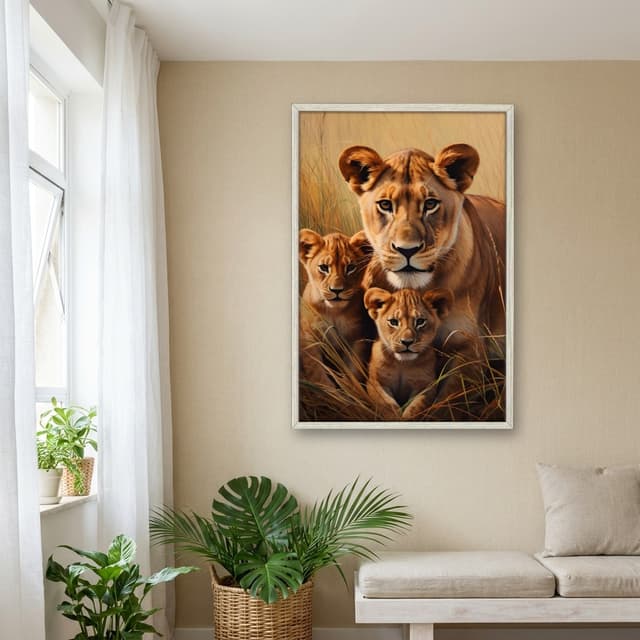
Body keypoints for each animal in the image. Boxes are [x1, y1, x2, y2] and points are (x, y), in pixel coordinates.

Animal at [299, 228, 374, 388]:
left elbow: (354, 372)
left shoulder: (357, 339)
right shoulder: (310, 340)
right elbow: (318, 373)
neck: (334, 311)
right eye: (323, 268)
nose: (336, 290)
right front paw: (329, 391)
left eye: (350, 268)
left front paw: (351, 391)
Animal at [364, 287, 453, 420]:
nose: (407, 342)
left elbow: (415, 408)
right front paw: (394, 418)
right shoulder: (376, 382)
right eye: (393, 322)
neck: (402, 364)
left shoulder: (426, 386)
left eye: (420, 321)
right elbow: (387, 404)